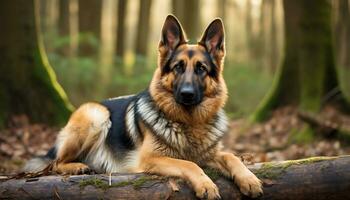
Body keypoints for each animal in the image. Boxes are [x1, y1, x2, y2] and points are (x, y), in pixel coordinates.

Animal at [25, 15, 262, 198]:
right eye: (178, 67)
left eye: (201, 68)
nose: (186, 94)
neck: (189, 122)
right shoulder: (152, 159)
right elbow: (189, 164)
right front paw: (206, 185)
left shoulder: (211, 154)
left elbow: (231, 156)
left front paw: (249, 179)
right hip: (96, 114)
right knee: (54, 163)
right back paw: (78, 166)